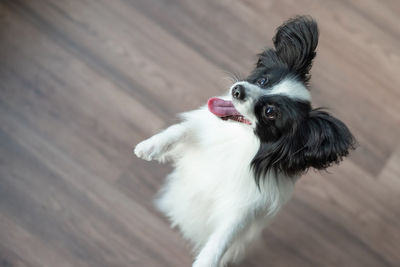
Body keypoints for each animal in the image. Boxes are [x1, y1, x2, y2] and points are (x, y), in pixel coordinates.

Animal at [135, 15, 356, 266]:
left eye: (270, 112)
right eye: (263, 81)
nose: (237, 89)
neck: (242, 139)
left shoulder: (240, 211)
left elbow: (221, 240)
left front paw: (207, 261)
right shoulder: (203, 132)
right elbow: (179, 130)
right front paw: (148, 147)